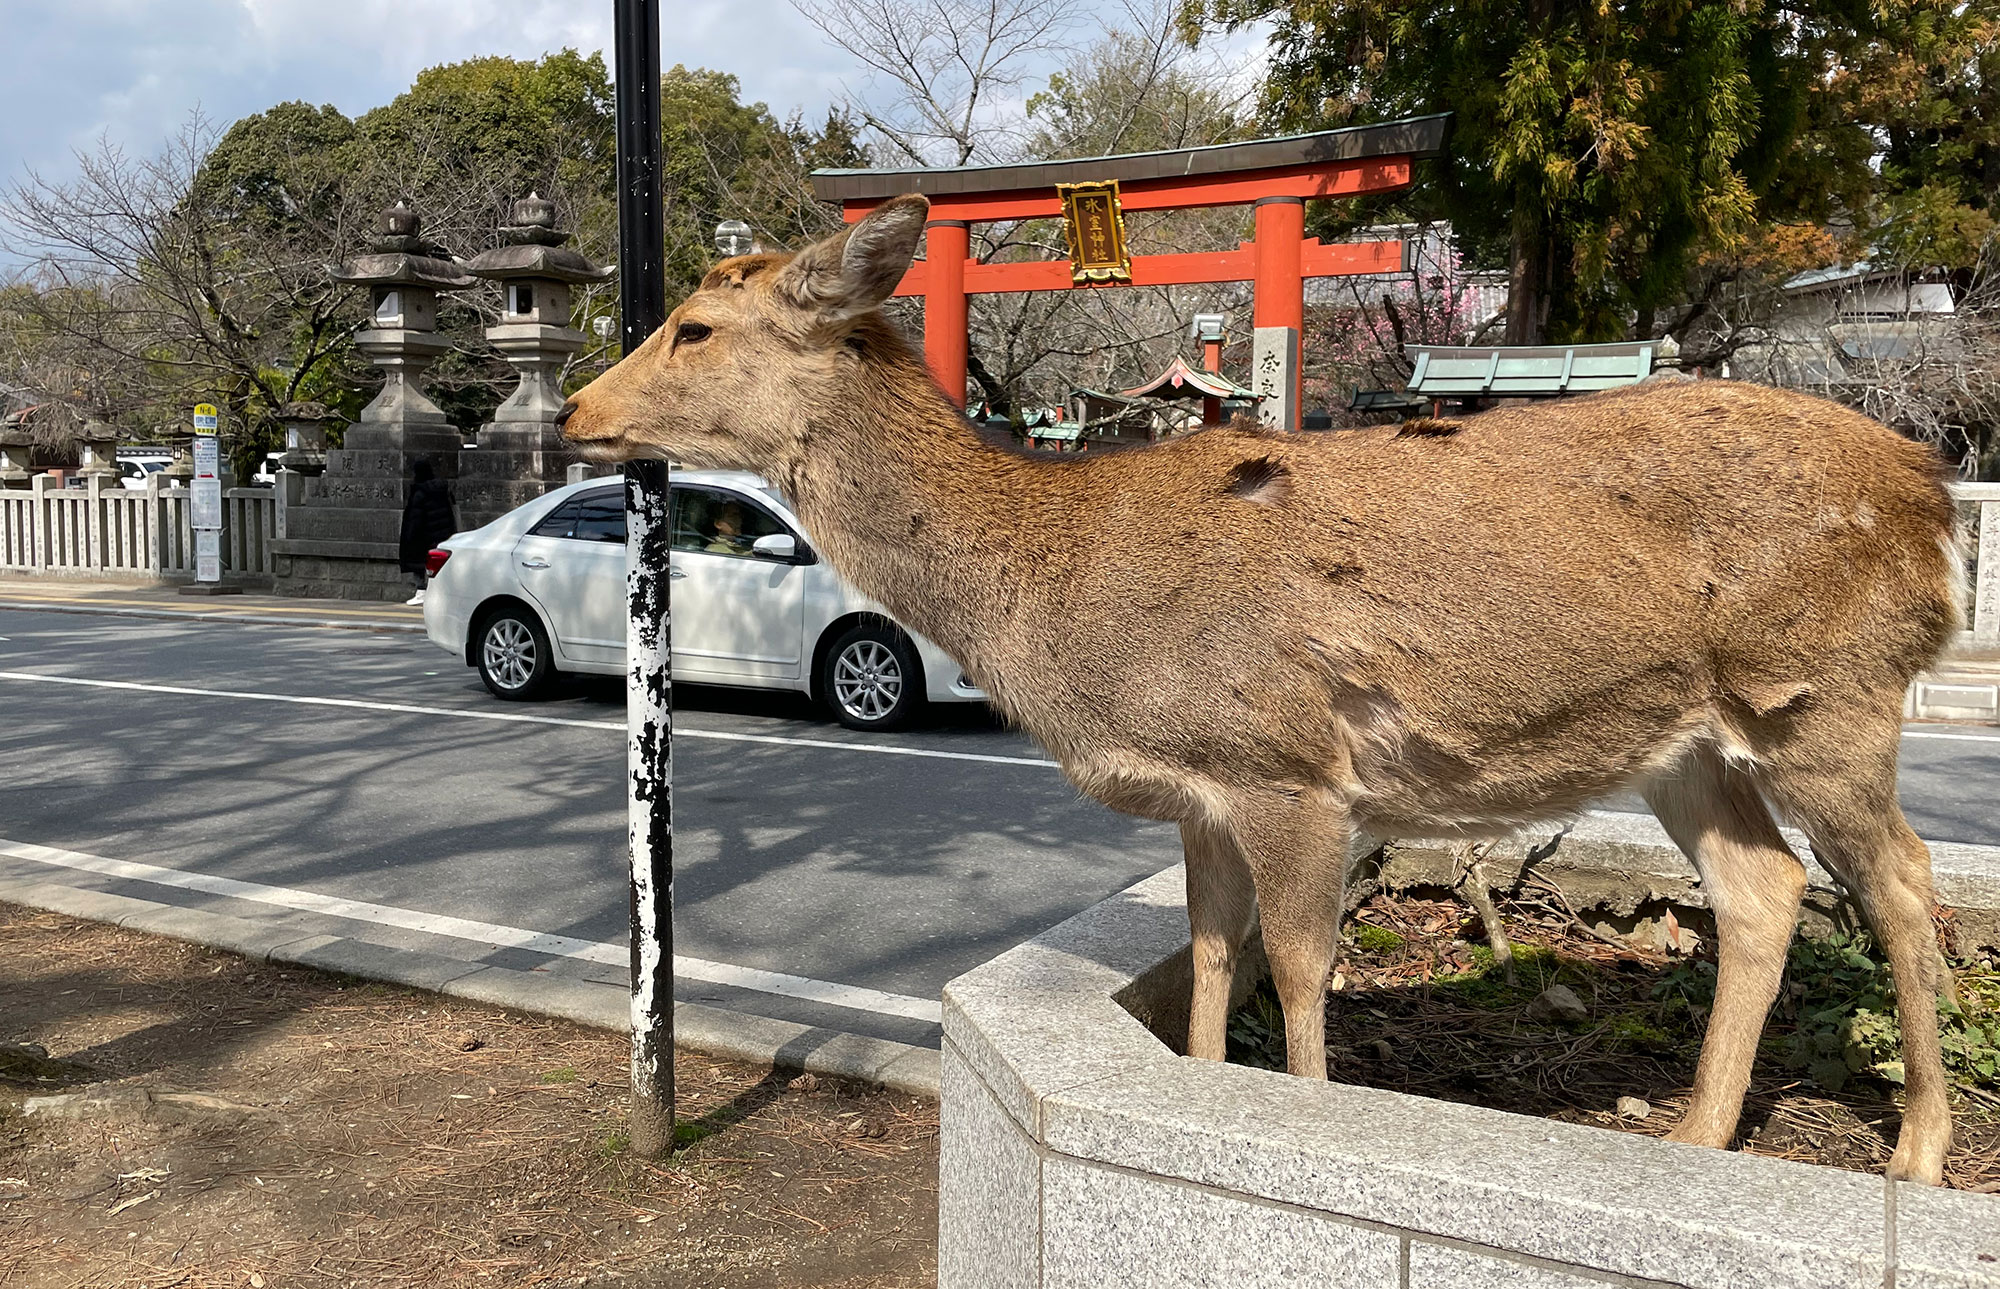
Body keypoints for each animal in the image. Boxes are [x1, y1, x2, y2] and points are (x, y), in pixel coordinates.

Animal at [557, 193, 1962, 1184]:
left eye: (693, 325)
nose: (574, 408)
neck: (1064, 600)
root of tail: (1930, 493)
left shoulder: (1288, 764)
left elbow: (1293, 966)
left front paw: (1298, 1115)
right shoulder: (1200, 788)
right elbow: (1210, 951)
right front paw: (1193, 1085)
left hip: (1830, 694)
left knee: (1899, 877)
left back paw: (1915, 1150)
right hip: (1689, 741)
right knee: (1761, 887)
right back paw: (1691, 1134)